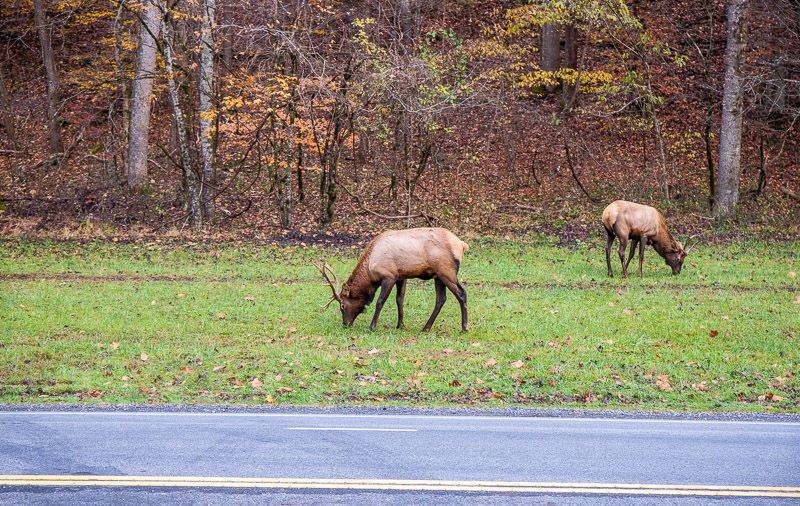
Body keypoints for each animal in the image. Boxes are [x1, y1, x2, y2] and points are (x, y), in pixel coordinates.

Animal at [312, 226, 468, 330]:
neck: (370, 270)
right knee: (441, 299)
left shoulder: (388, 276)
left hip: (446, 271)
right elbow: (399, 300)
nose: (346, 323)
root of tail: (462, 244)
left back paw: (464, 327)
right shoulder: (401, 276)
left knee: (461, 293)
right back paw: (426, 327)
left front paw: (372, 327)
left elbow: (380, 302)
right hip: (438, 276)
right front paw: (400, 325)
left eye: (342, 306)